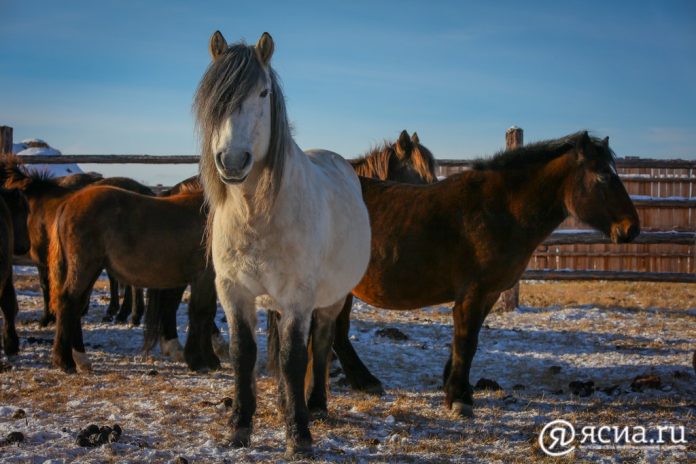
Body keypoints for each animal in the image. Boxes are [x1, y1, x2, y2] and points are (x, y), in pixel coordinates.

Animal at [48, 185, 219, 373]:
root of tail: (68, 203)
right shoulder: (203, 277)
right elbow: (201, 314)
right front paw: (198, 361)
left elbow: (208, 314)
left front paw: (210, 360)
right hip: (84, 267)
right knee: (68, 302)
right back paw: (64, 361)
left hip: (91, 270)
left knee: (77, 306)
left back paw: (80, 358)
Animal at [195, 31, 370, 458]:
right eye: (214, 98)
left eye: (263, 92)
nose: (232, 161)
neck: (255, 213)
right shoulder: (234, 291)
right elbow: (244, 355)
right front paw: (239, 428)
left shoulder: (297, 296)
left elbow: (294, 358)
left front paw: (299, 436)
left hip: (330, 299)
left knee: (321, 345)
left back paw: (317, 406)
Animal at [300, 131, 639, 418]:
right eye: (603, 175)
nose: (631, 229)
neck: (501, 209)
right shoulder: (474, 291)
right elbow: (466, 340)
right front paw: (460, 398)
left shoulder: (489, 293)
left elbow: (466, 342)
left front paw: (453, 385)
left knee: (337, 333)